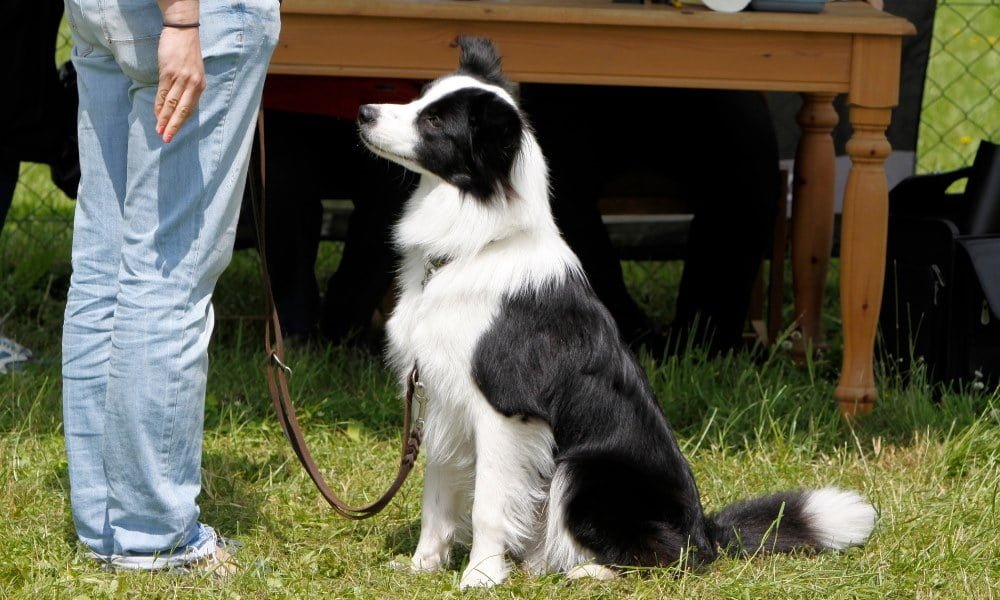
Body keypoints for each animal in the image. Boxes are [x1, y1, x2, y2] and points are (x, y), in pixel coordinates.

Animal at [360, 38, 876, 592]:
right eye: (420, 98)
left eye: (434, 122)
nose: (363, 112)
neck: (473, 247)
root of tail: (706, 531)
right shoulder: (438, 399)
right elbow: (436, 500)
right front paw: (422, 566)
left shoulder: (504, 408)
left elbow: (488, 507)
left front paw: (480, 577)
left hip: (583, 471)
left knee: (668, 555)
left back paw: (589, 570)